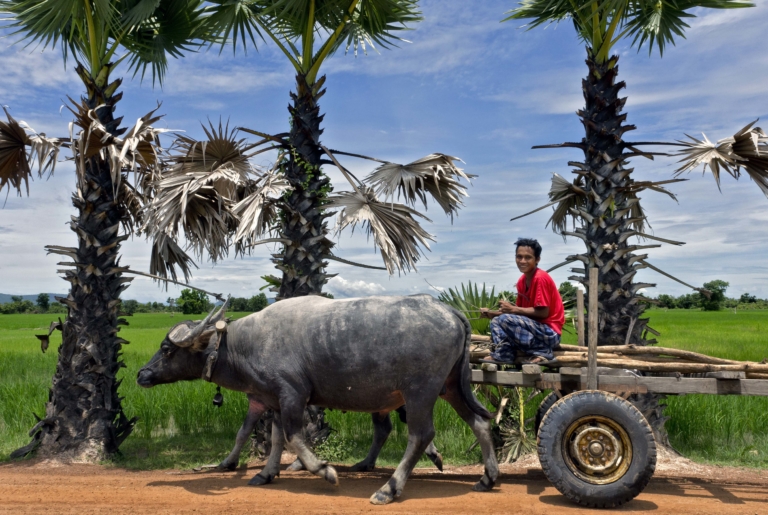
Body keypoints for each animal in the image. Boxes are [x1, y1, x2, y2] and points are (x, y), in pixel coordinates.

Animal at [137, 294, 498, 504]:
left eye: (167, 349)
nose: (141, 374)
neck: (244, 344)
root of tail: (450, 311)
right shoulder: (273, 399)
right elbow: (277, 439)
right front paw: (266, 473)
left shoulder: (292, 394)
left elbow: (295, 438)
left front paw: (324, 471)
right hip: (450, 387)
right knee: (479, 421)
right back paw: (488, 477)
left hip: (420, 392)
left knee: (420, 435)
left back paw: (389, 489)